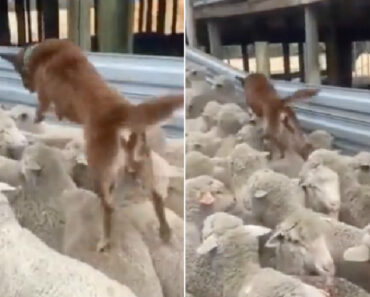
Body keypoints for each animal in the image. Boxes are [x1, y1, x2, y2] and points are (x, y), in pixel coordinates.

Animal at [0, 37, 183, 250]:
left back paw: (105, 240)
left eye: (20, 73)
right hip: (141, 165)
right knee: (156, 197)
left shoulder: (46, 96)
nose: (26, 87)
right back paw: (165, 232)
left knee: (109, 206)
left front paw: (38, 116)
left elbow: (42, 106)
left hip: (99, 168)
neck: (39, 54)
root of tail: (122, 111)